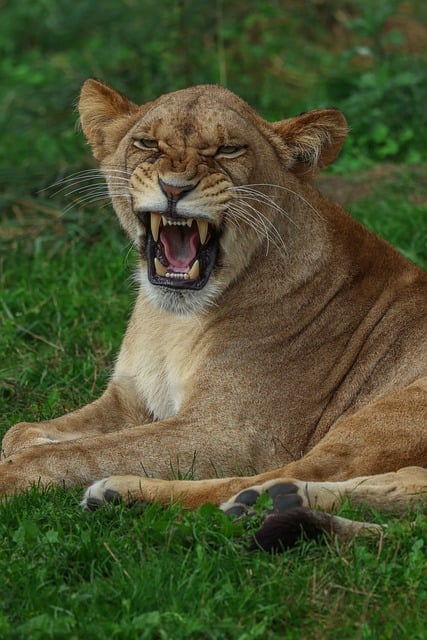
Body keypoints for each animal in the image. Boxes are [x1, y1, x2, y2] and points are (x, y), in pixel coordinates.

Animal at [2, 79, 426, 550]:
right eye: (148, 143)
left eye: (227, 150)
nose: (173, 188)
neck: (172, 321)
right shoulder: (133, 399)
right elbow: (20, 431)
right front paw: (26, 442)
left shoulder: (234, 432)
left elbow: (72, 454)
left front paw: (13, 475)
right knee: (405, 483)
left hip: (392, 411)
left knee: (274, 476)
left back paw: (139, 496)